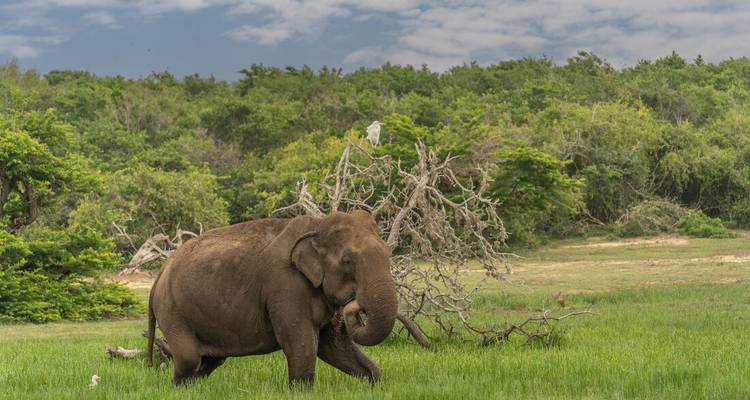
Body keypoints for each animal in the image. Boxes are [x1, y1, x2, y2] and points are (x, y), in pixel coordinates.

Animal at [146, 210, 399, 386]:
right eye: (347, 261)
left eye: (389, 252)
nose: (356, 307)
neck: (317, 225)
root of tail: (160, 273)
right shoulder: (285, 285)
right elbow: (301, 343)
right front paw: (302, 391)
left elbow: (334, 345)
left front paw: (374, 382)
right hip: (172, 309)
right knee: (189, 357)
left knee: (209, 360)